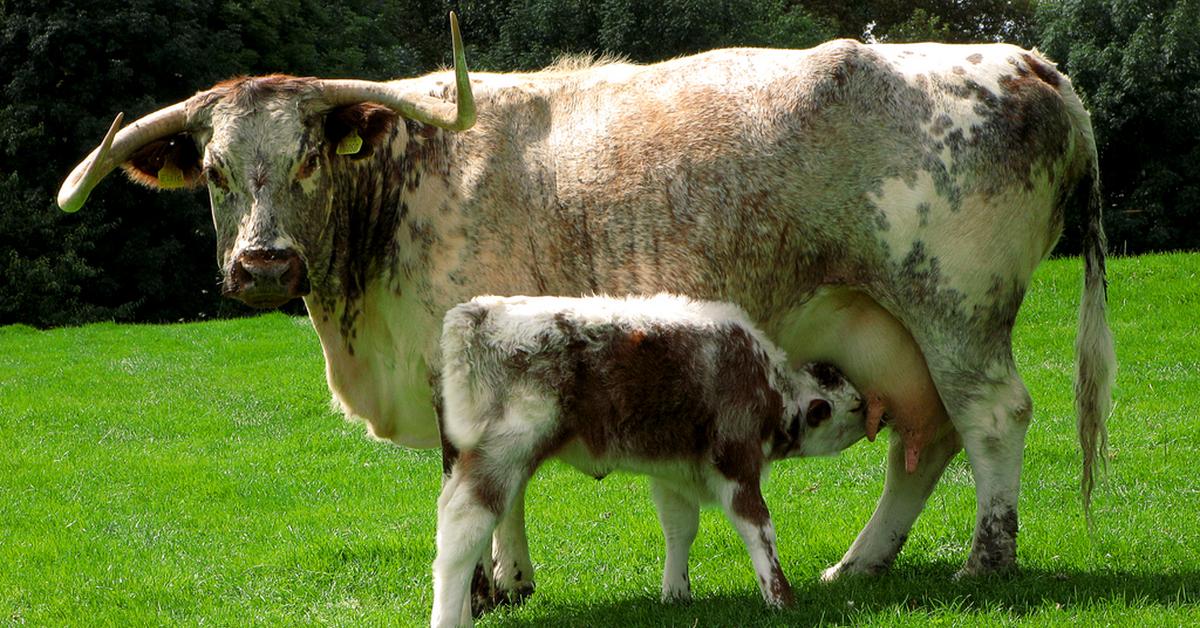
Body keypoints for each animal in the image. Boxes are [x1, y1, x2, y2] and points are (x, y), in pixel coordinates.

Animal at [432, 296, 864, 628]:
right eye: (856, 406)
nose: (877, 415)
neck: (771, 387)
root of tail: (477, 311)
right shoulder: (736, 462)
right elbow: (759, 529)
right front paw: (780, 599)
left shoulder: (676, 473)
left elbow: (680, 527)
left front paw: (676, 593)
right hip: (504, 455)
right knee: (463, 529)